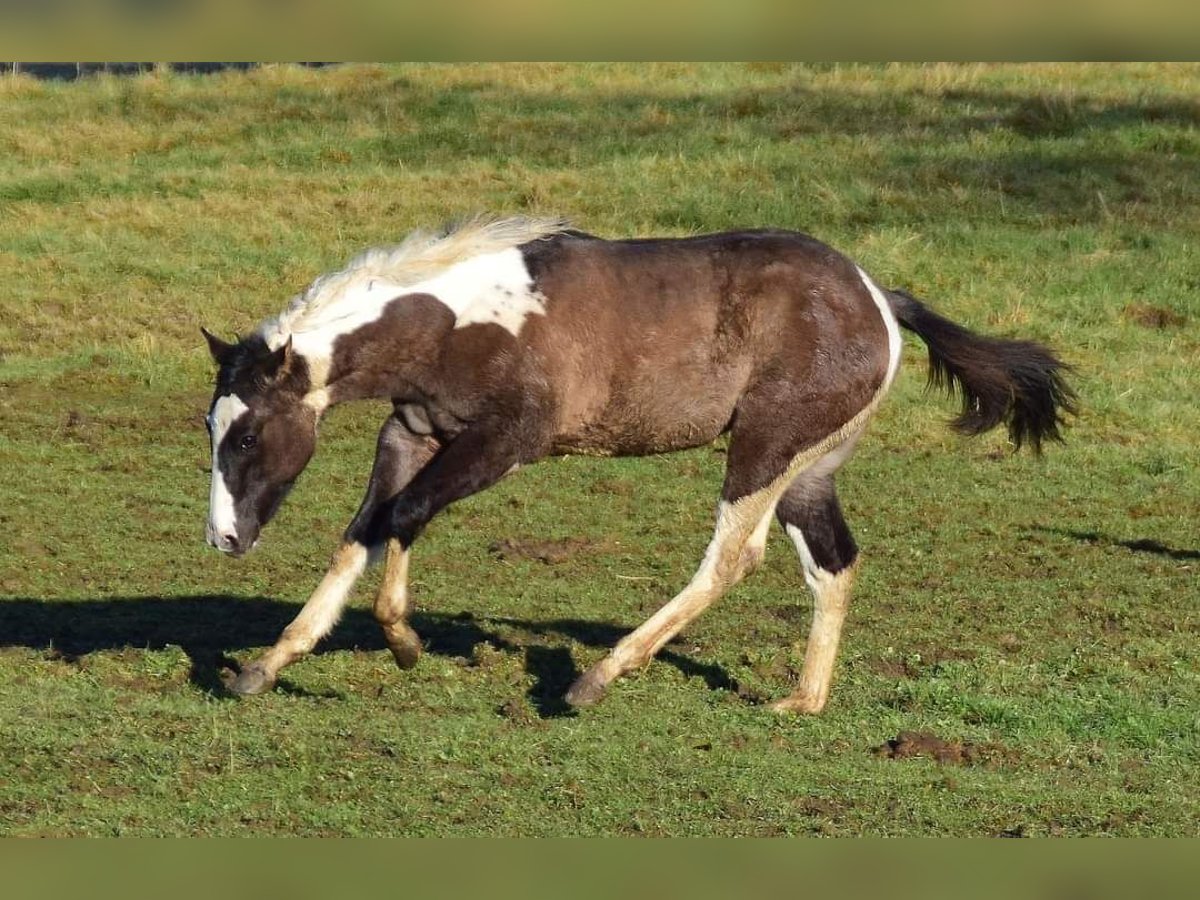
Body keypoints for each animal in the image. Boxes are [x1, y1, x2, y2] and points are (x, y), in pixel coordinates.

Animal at [201, 217, 1075, 710]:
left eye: (246, 438)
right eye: (211, 426)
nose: (224, 540)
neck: (456, 319)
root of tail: (879, 299)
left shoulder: (508, 442)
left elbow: (405, 516)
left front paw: (403, 640)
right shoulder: (410, 435)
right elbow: (362, 532)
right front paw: (265, 667)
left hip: (764, 448)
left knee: (733, 559)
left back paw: (595, 679)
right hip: (808, 471)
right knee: (832, 562)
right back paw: (802, 701)